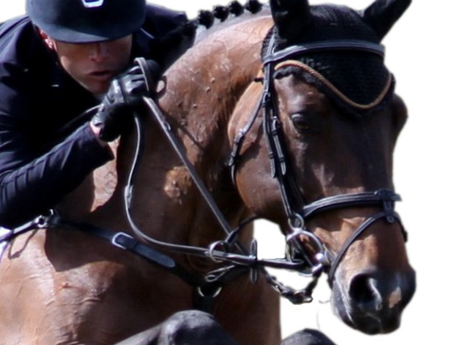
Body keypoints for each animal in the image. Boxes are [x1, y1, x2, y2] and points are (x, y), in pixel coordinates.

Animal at [0, 0, 416, 344]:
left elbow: (310, 337)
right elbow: (191, 324)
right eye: (302, 120)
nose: (384, 289)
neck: (197, 269)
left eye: (399, 119)